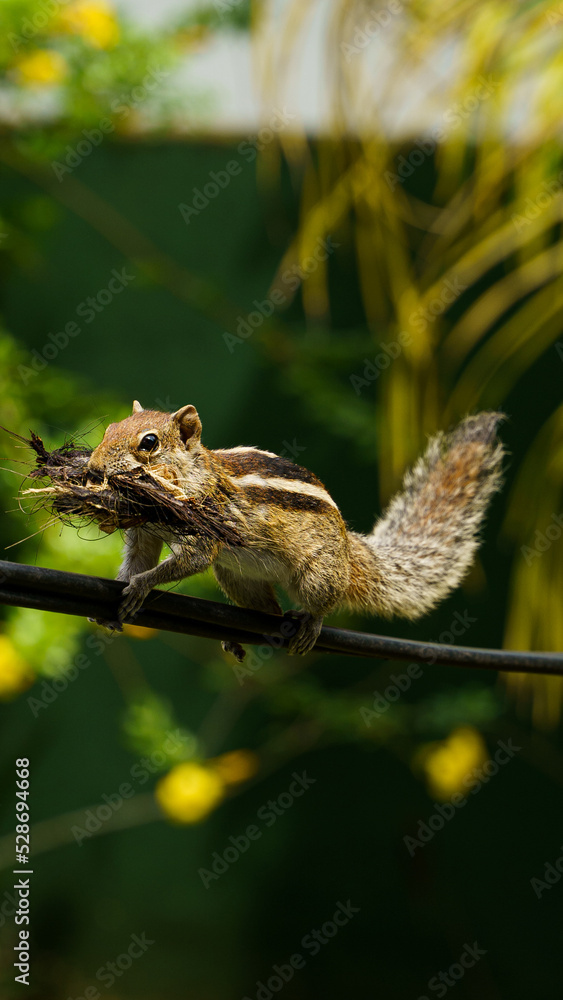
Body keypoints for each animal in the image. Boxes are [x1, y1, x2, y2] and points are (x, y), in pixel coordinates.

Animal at [85, 402, 505, 660]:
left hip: (317, 576)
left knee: (323, 602)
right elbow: (138, 559)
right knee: (268, 609)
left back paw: (310, 625)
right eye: (109, 429)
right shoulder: (144, 533)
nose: (92, 468)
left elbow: (187, 560)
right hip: (238, 577)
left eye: (149, 442)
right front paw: (120, 592)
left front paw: (142, 586)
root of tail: (348, 549)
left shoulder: (203, 530)